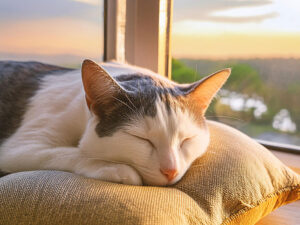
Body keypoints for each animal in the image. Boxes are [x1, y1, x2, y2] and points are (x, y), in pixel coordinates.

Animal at [0, 59, 231, 186]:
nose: (171, 171)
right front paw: (116, 168)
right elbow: (75, 152)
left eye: (187, 140)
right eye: (141, 139)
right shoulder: (20, 147)